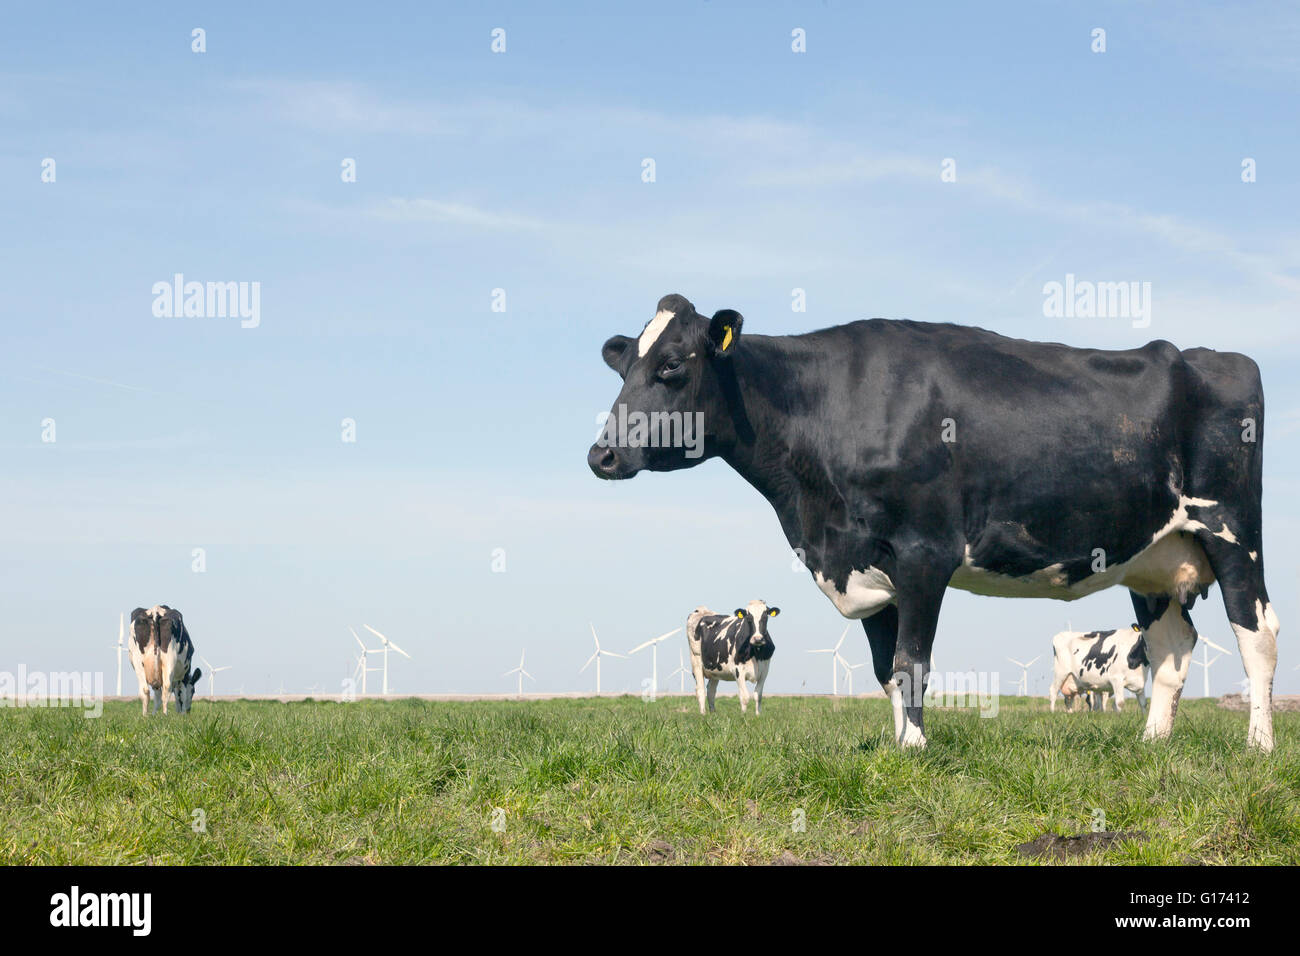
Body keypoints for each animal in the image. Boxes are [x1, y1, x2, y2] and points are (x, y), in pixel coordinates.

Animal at [589, 294, 1278, 750]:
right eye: (623, 369)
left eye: (672, 364)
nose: (602, 455)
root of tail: (1220, 358)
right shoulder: (868, 568)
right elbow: (883, 668)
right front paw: (898, 746)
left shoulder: (925, 552)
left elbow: (911, 660)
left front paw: (916, 749)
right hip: (1156, 556)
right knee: (1171, 647)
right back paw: (1153, 742)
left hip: (1232, 531)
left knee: (1257, 635)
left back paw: (1260, 744)